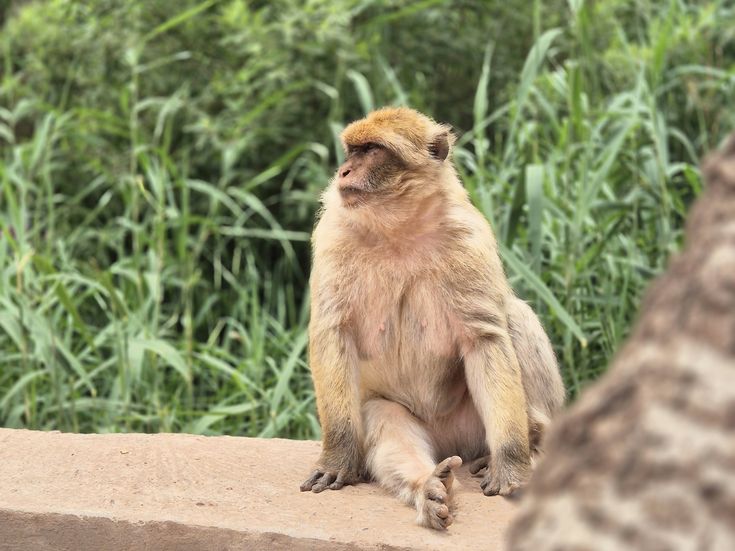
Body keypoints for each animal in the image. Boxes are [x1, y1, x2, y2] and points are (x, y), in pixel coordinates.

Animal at [300, 107, 565, 530]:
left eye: (371, 150)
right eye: (353, 150)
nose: (343, 171)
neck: (398, 229)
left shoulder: (470, 237)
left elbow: (485, 338)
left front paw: (511, 465)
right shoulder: (332, 235)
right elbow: (333, 334)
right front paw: (339, 457)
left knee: (514, 314)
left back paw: (530, 440)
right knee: (384, 418)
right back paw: (428, 486)